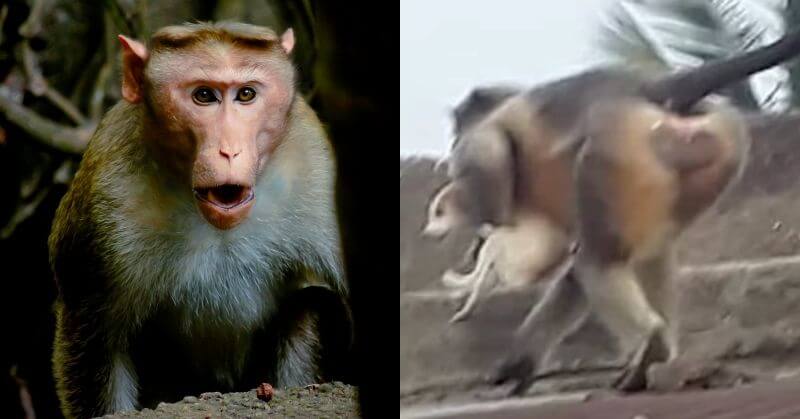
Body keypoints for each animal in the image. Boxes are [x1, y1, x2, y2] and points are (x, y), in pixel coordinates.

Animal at [48, 22, 352, 418]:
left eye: (246, 94)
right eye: (204, 95)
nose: (229, 150)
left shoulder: (319, 170)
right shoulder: (102, 208)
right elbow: (98, 341)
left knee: (311, 305)